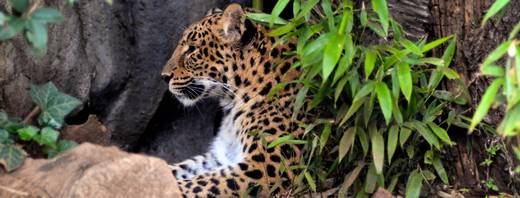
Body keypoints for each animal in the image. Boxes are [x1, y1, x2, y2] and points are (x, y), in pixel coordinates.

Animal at [161, 3, 308, 197]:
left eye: (192, 49)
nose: (164, 77)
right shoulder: (220, 156)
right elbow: (179, 169)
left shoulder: (266, 165)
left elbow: (198, 183)